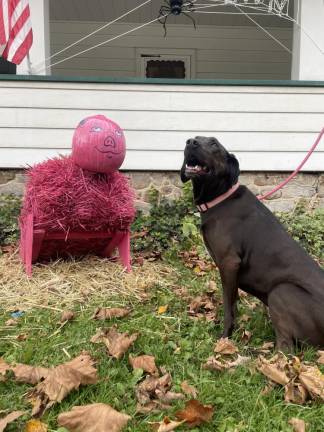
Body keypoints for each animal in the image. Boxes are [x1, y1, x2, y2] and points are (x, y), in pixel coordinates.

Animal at [180, 137, 324, 350]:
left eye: (214, 144)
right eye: (195, 139)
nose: (190, 142)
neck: (221, 198)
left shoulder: (229, 262)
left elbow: (228, 307)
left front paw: (225, 337)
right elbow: (234, 303)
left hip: (282, 291)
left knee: (286, 348)